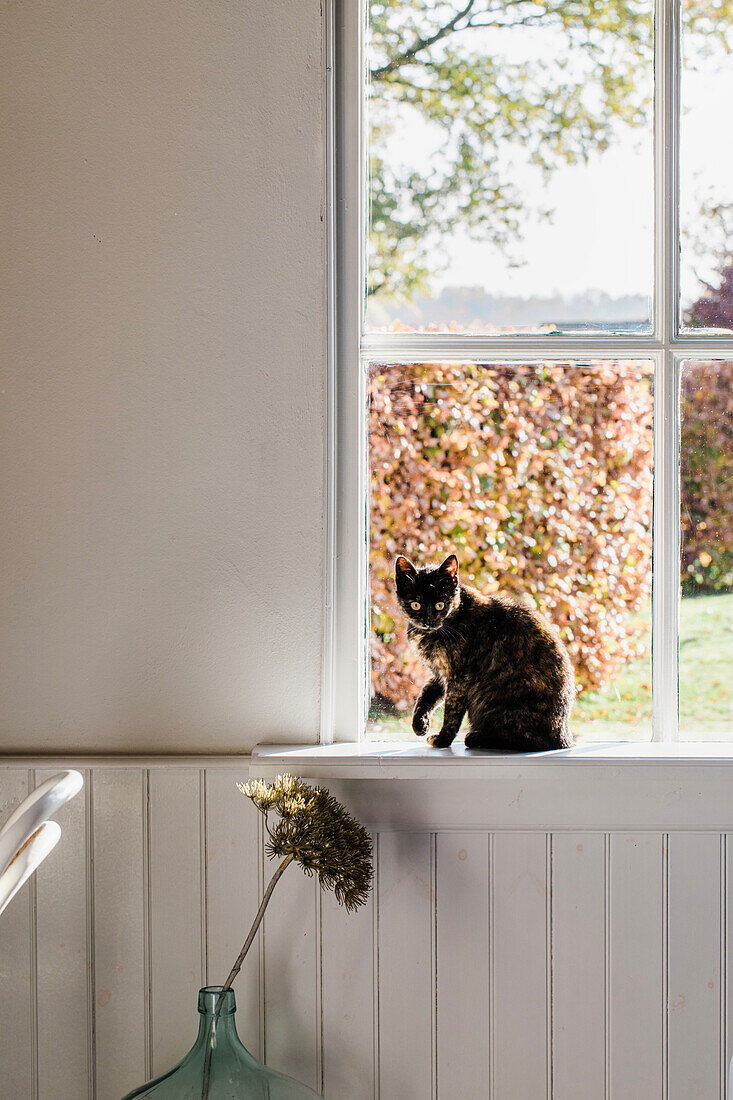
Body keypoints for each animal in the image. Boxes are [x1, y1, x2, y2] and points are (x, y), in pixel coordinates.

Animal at [391, 554, 572, 752]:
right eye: (415, 605)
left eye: (440, 605)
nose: (428, 622)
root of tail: (563, 737)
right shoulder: (440, 673)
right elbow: (426, 696)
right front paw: (419, 724)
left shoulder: (459, 678)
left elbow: (452, 712)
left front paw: (442, 740)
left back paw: (477, 737)